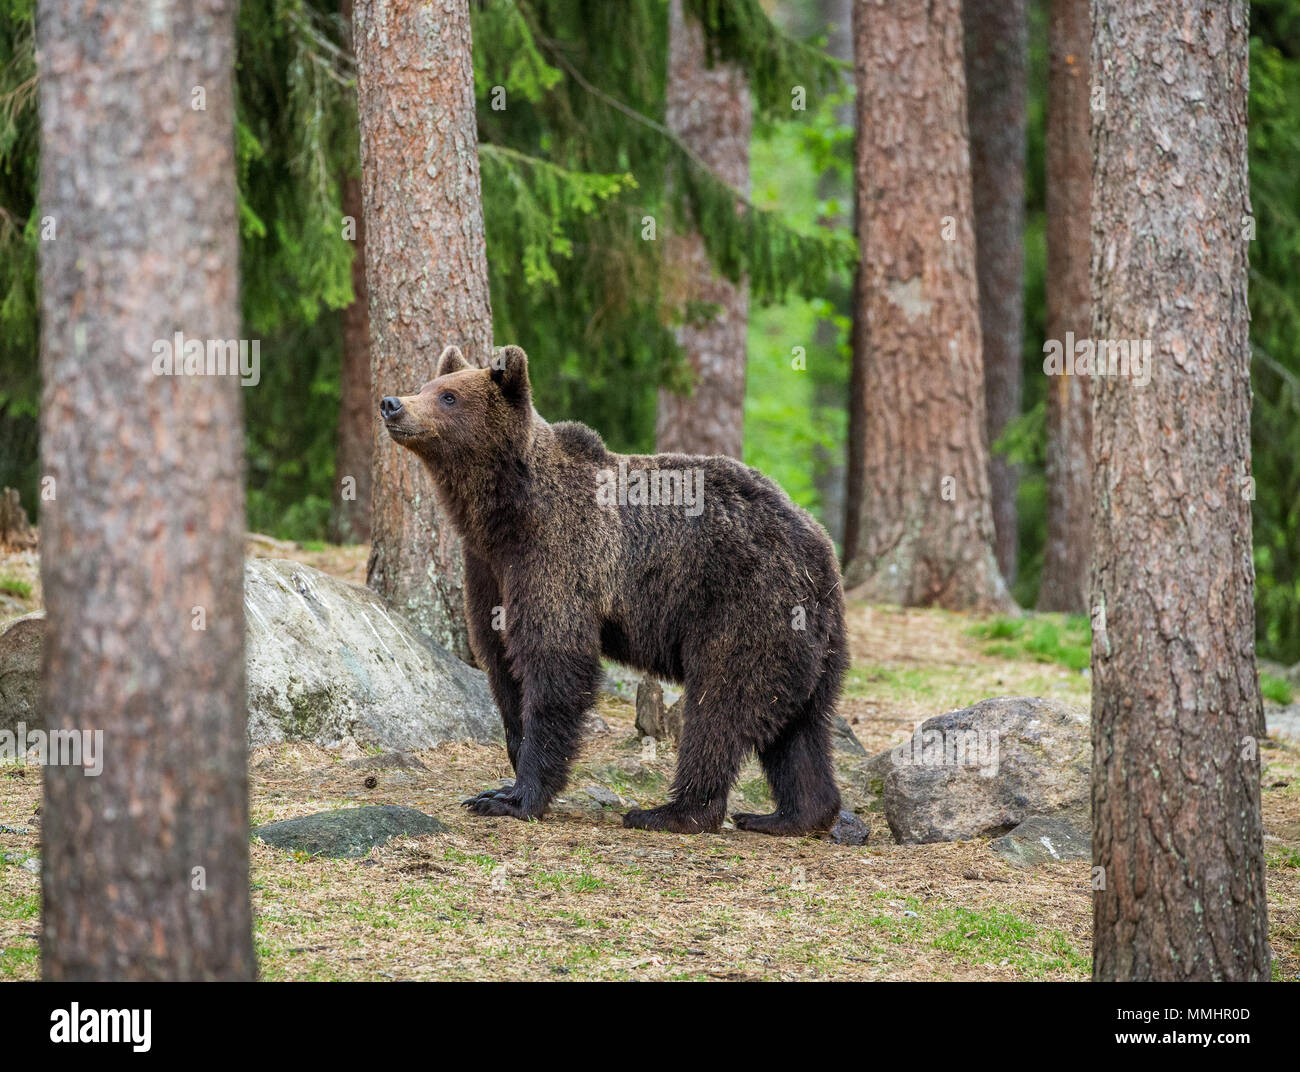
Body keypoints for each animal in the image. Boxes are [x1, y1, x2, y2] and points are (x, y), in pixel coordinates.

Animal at [379, 348, 842, 831]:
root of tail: (820, 544)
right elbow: (501, 663)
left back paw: (672, 811)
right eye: (427, 386)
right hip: (812, 637)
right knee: (802, 726)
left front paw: (517, 796)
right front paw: (501, 782)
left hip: (745, 604)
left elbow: (555, 662)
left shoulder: (557, 555)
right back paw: (791, 814)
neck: (503, 515)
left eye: (448, 397)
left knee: (720, 704)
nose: (392, 403)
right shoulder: (487, 570)